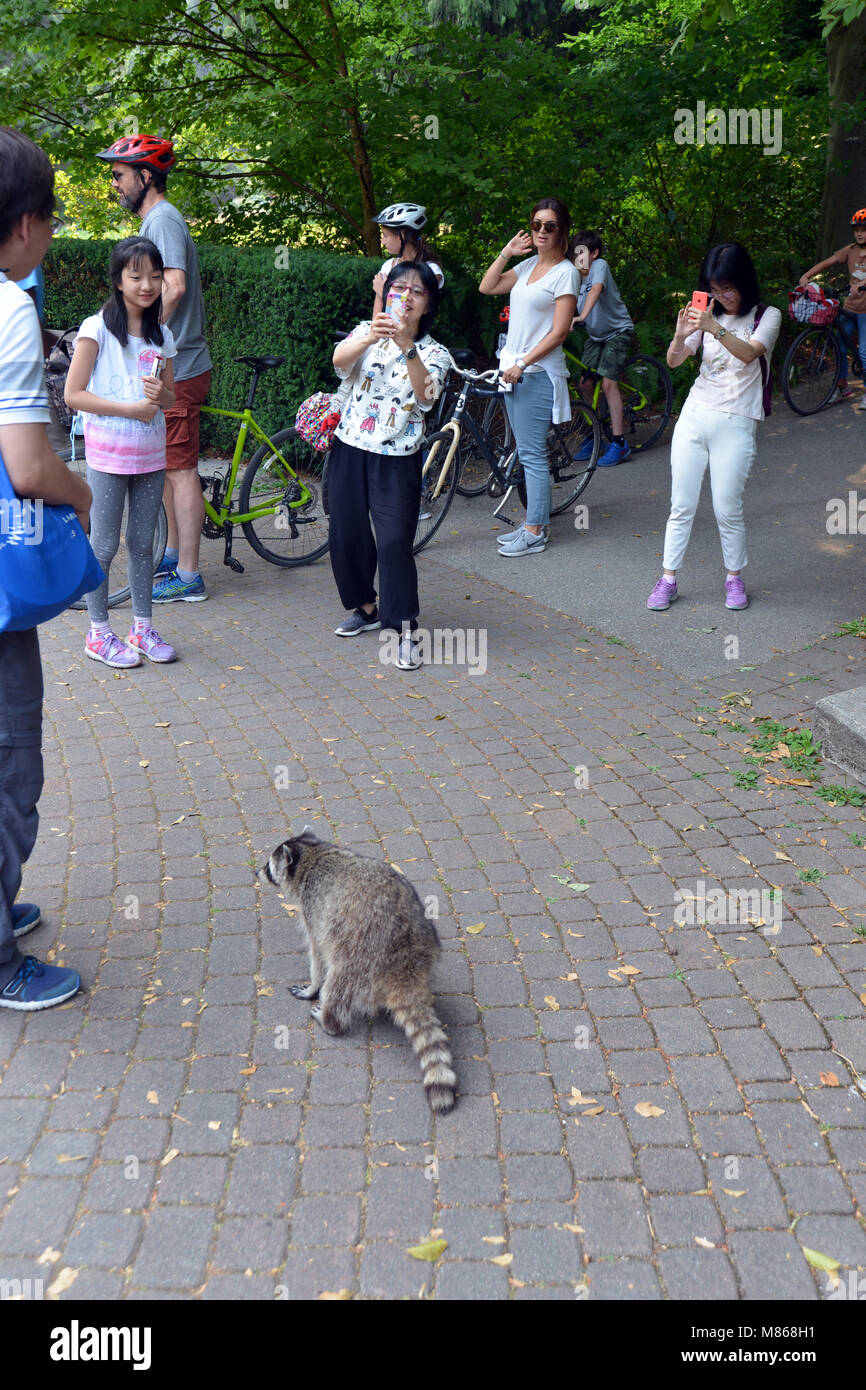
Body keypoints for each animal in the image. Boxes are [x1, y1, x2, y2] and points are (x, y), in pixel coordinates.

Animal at [258, 828, 458, 1112]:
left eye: (269, 866)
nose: (257, 872)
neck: (313, 855)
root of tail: (405, 962)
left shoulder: (315, 910)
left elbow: (317, 953)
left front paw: (312, 987)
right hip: (426, 937)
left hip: (359, 956)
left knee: (337, 982)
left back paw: (330, 1020)